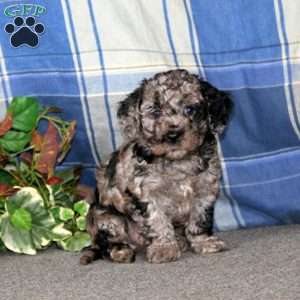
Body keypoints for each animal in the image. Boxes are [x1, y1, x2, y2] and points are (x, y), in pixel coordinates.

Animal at [81, 68, 233, 264]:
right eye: (155, 111)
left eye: (190, 109)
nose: (173, 135)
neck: (178, 161)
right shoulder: (145, 192)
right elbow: (157, 220)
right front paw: (164, 248)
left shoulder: (206, 188)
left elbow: (200, 218)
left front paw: (204, 242)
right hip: (105, 217)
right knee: (106, 243)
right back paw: (122, 251)